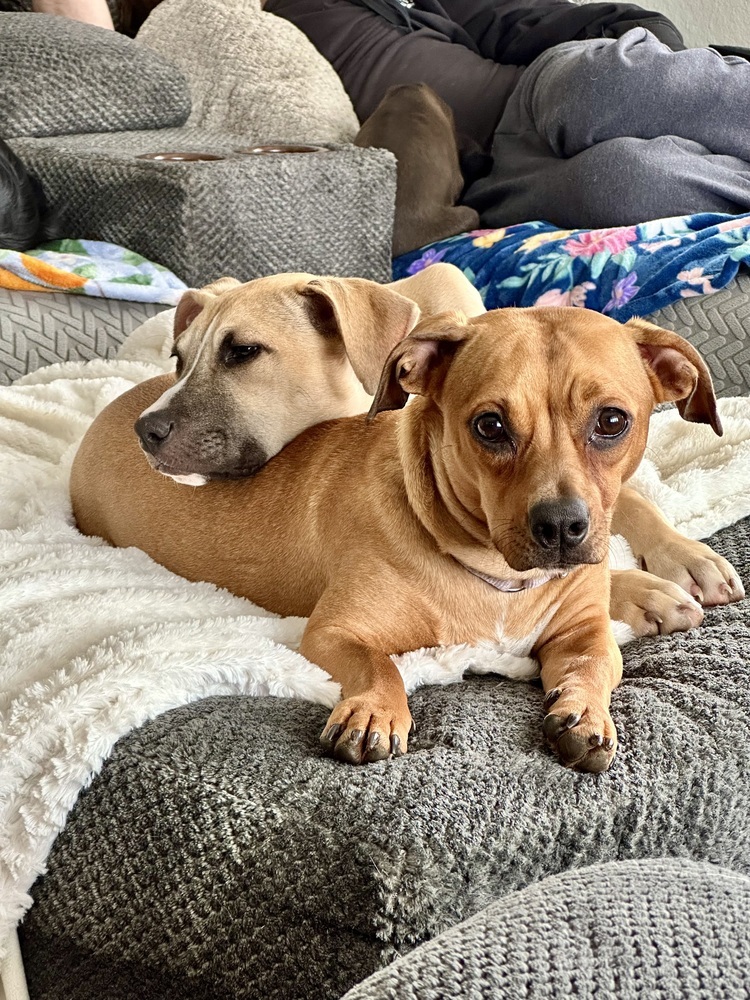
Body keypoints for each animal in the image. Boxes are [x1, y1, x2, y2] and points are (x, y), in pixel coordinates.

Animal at [72, 304, 748, 772]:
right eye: (489, 426)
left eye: (612, 421)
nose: (561, 526)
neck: (496, 577)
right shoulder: (334, 631)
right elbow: (380, 666)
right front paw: (374, 710)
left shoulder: (583, 631)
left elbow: (595, 662)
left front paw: (586, 709)